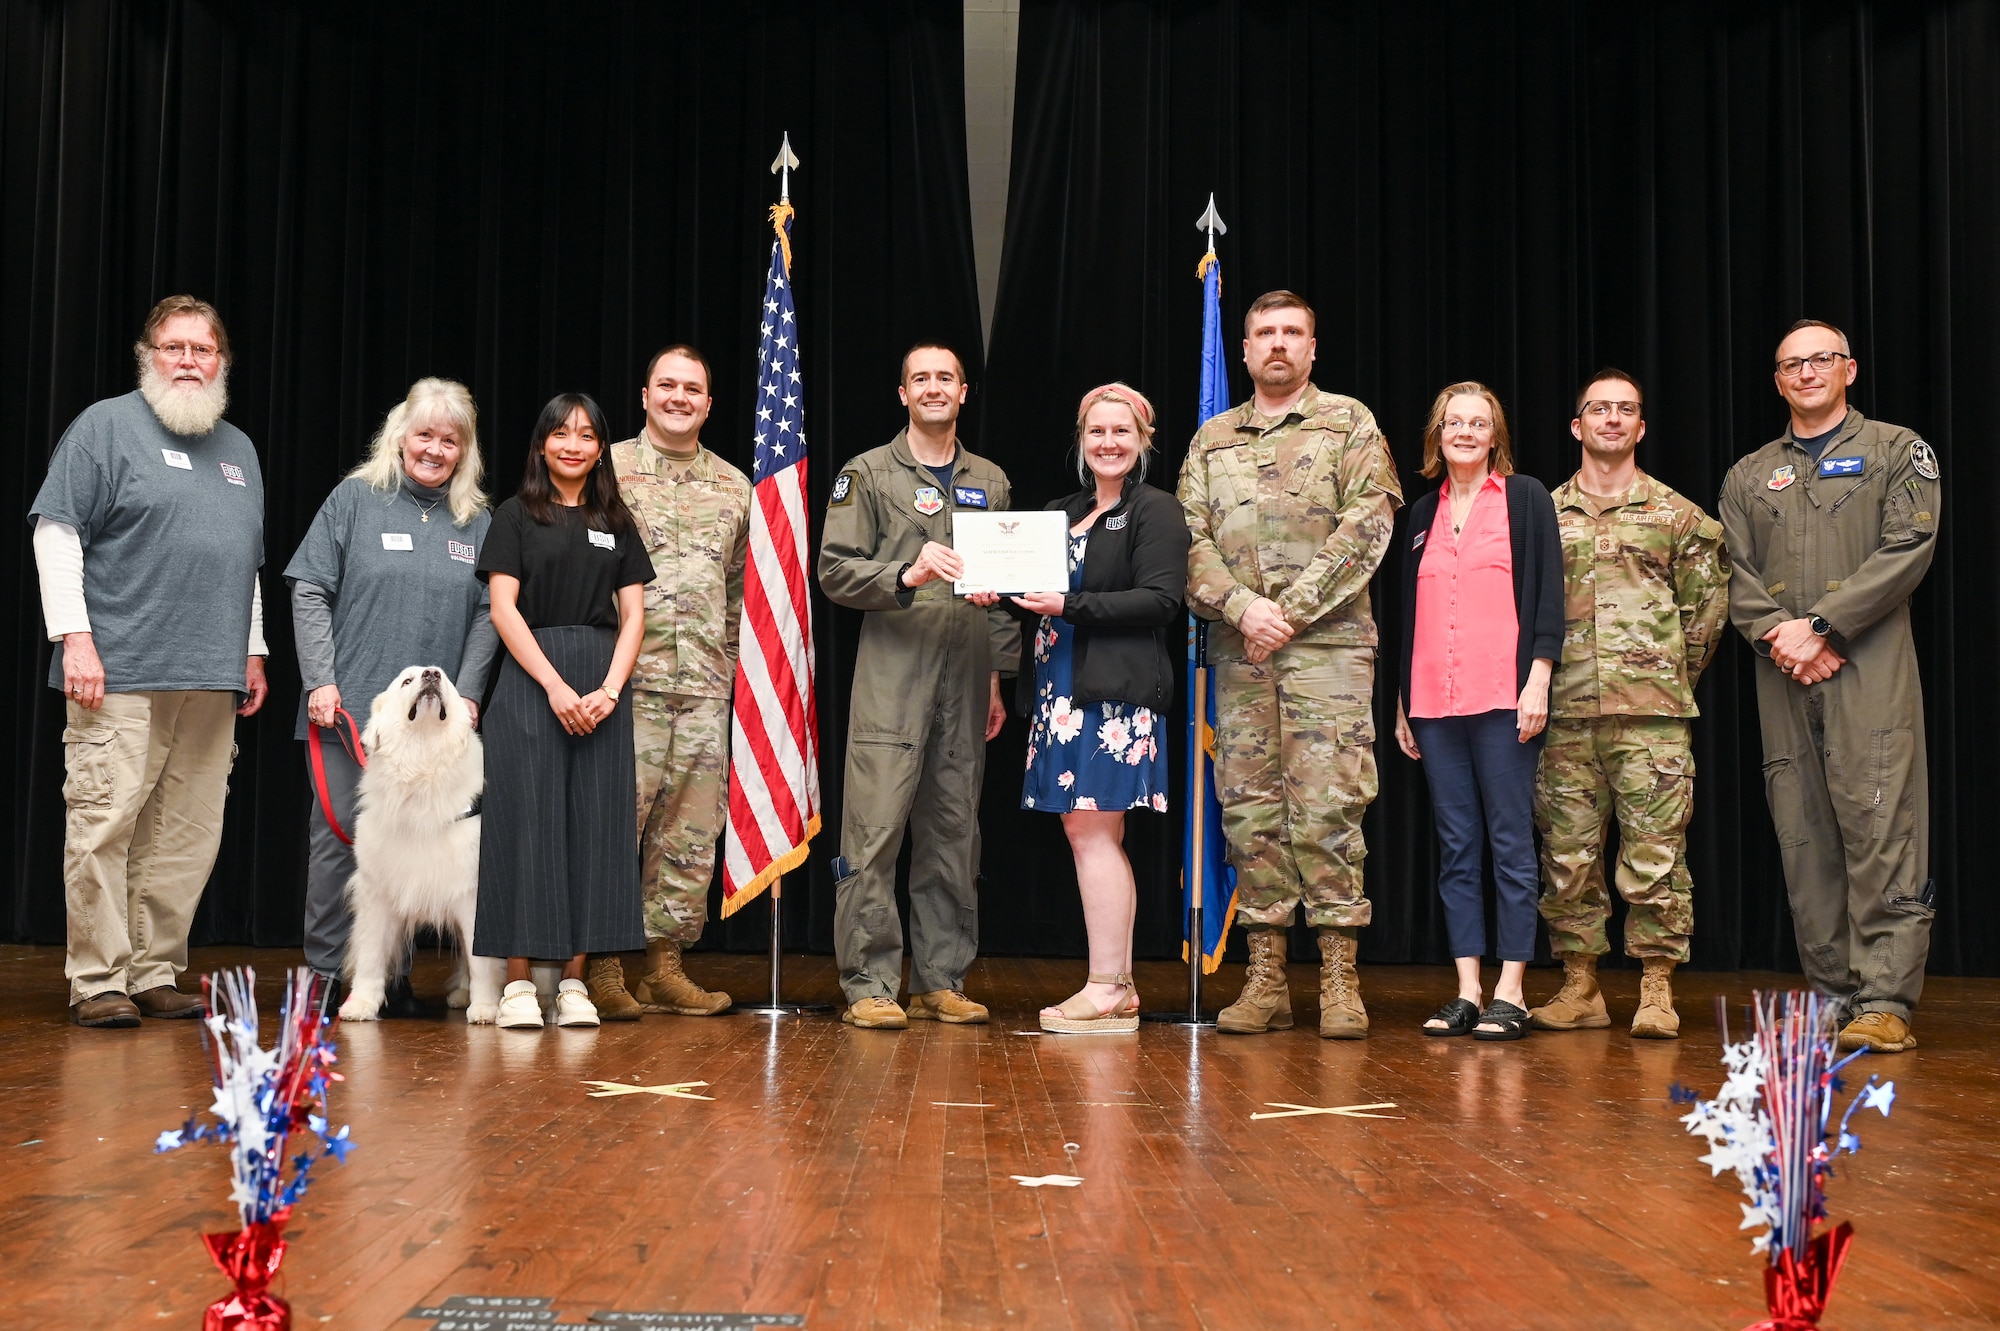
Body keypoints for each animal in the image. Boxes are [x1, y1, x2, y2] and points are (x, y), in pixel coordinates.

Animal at [338, 667, 508, 1019]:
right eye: (407, 681)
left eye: (445, 679)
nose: (431, 674)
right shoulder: (377, 893)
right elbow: (371, 954)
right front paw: (361, 1003)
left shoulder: (472, 896)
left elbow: (481, 961)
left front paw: (485, 1007)